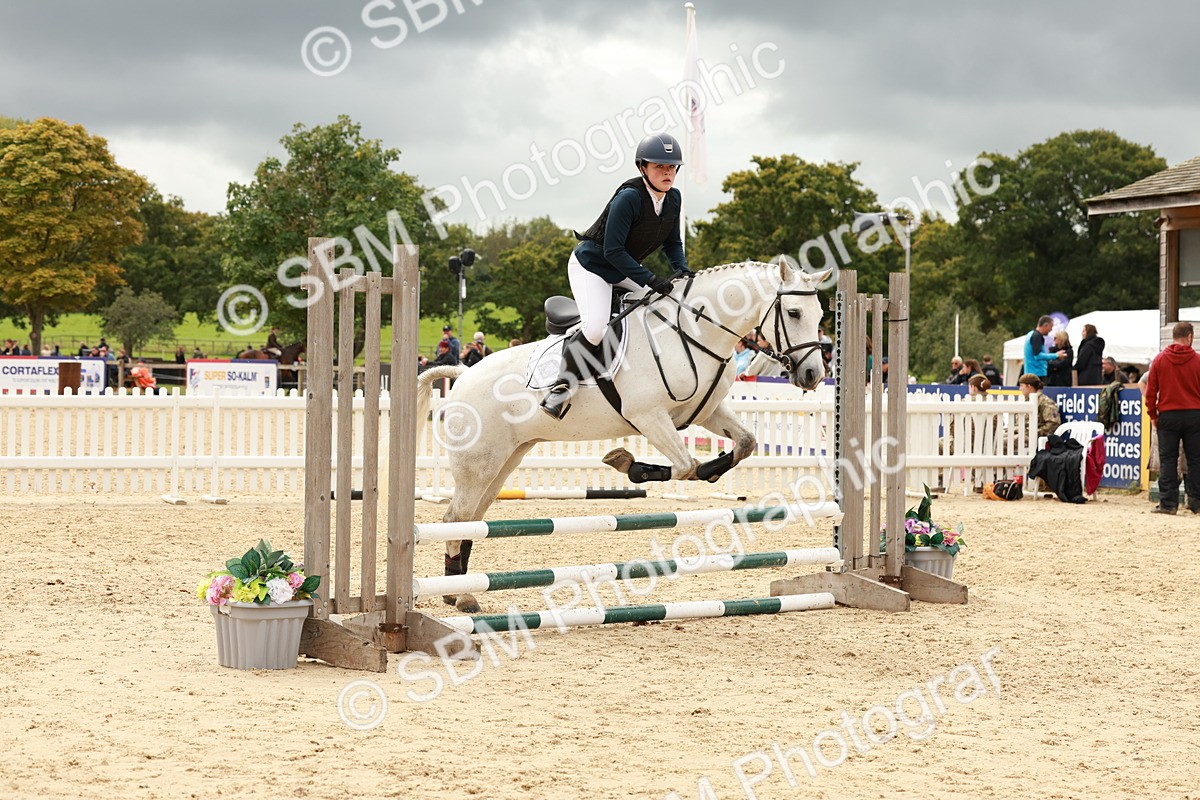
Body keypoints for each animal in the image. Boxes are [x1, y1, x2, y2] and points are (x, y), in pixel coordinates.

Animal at [411, 260, 832, 613]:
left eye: (820, 316)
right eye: (793, 313)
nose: (813, 375)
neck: (692, 332)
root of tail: (463, 373)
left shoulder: (707, 412)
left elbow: (743, 445)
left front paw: (708, 470)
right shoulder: (649, 416)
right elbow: (685, 465)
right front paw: (629, 464)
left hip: (506, 459)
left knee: (471, 520)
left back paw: (456, 592)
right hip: (479, 463)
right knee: (457, 516)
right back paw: (463, 596)